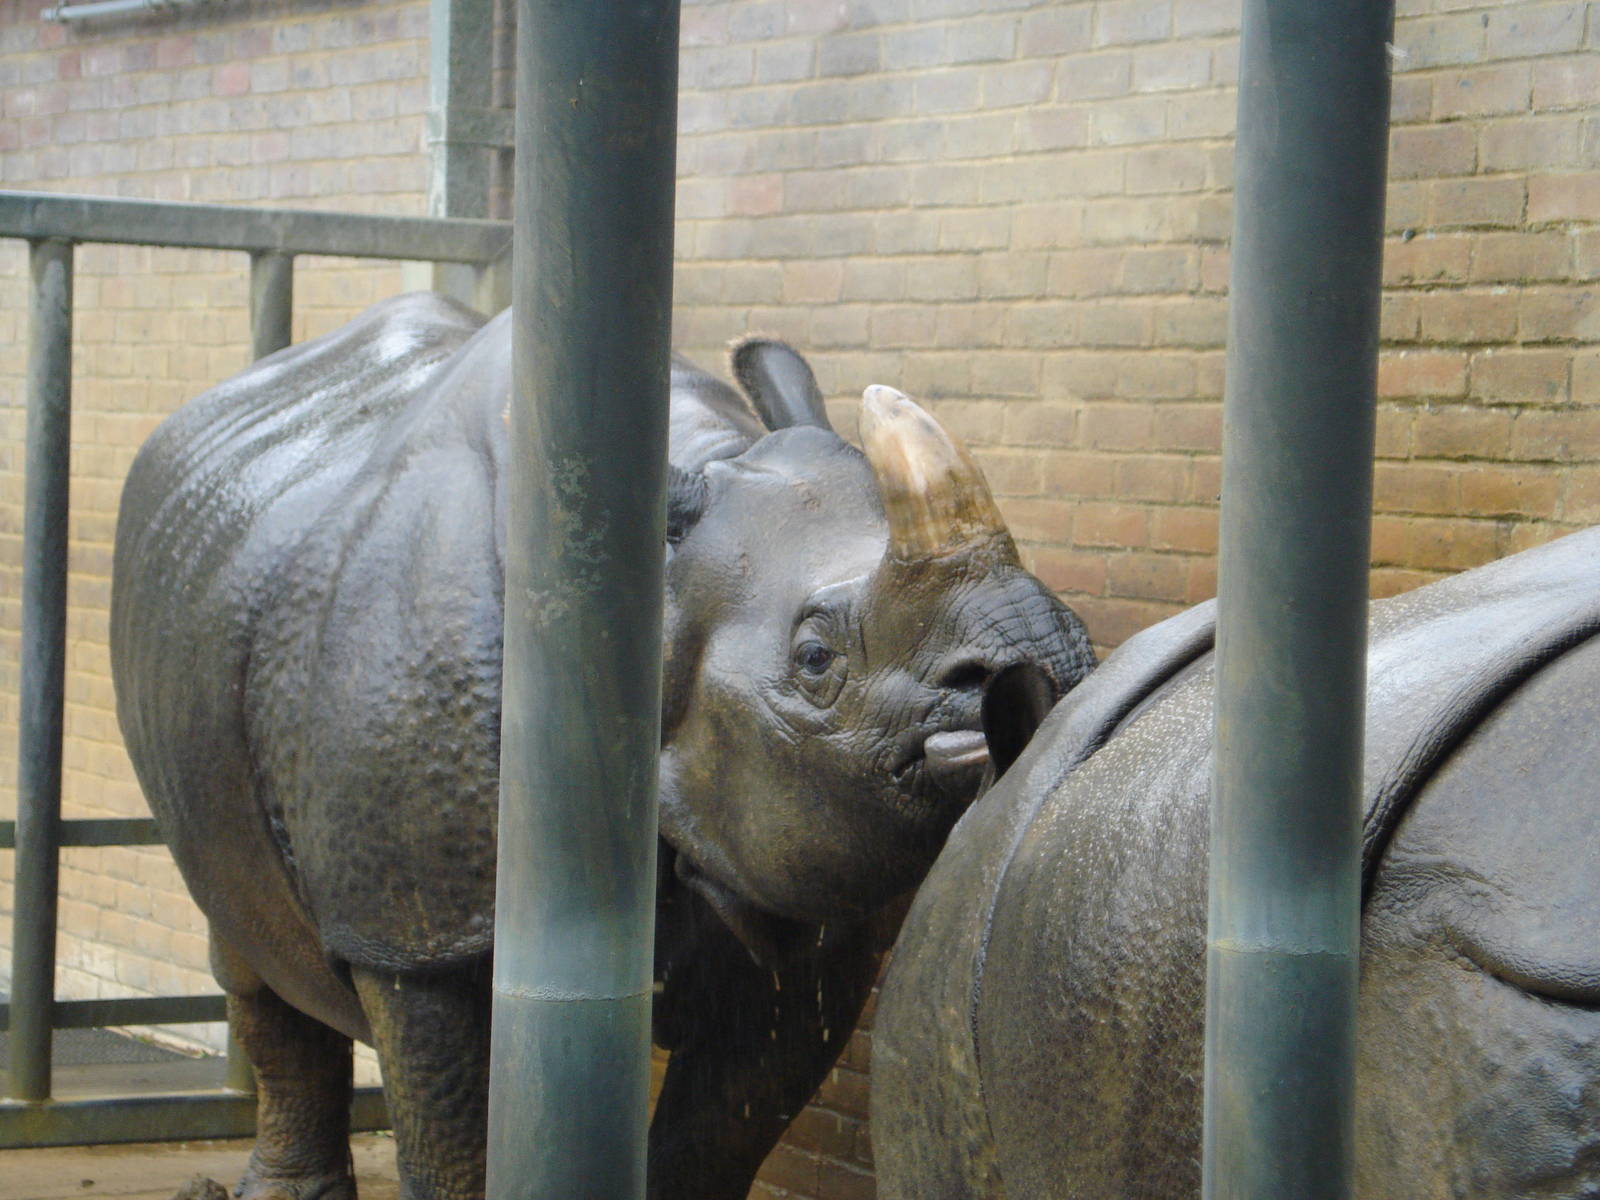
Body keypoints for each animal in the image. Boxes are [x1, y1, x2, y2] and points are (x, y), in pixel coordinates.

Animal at [109, 292, 1095, 1200]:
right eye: (815, 658)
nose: (1043, 662)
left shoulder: (797, 890)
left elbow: (720, 1135)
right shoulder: (414, 930)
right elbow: (451, 1137)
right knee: (245, 943)